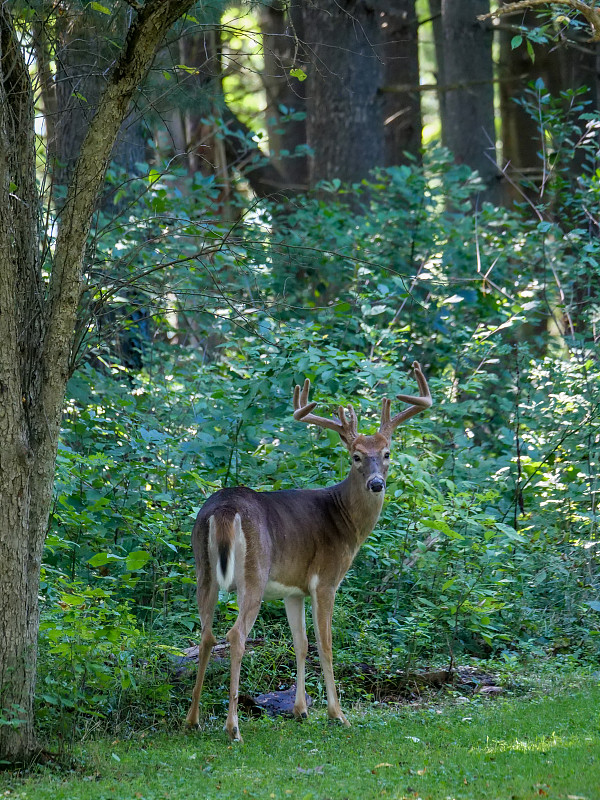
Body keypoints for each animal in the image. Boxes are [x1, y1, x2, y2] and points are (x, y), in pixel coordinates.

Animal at [185, 360, 428, 736]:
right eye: (356, 457)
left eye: (387, 454)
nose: (377, 483)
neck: (345, 520)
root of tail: (224, 509)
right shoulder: (325, 580)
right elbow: (325, 645)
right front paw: (337, 714)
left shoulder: (293, 590)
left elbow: (301, 643)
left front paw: (300, 710)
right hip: (254, 573)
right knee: (236, 635)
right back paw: (233, 728)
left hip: (203, 569)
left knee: (206, 635)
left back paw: (192, 720)